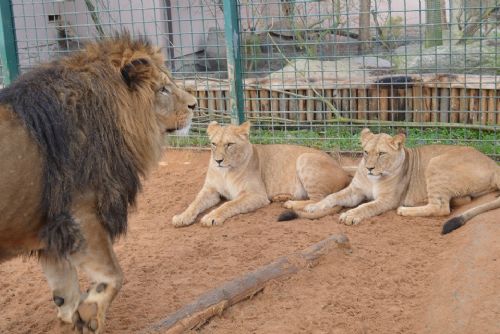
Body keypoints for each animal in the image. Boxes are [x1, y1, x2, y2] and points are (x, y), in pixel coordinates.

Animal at [0, 33, 196, 332]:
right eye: (163, 89)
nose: (195, 104)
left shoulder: (52, 232)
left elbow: (65, 292)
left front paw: (74, 317)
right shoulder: (82, 214)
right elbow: (113, 275)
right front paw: (91, 313)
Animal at [172, 120, 352, 227]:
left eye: (229, 144)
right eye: (213, 144)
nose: (218, 161)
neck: (225, 171)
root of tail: (343, 171)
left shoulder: (256, 195)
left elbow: (229, 204)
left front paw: (212, 216)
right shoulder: (210, 190)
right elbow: (195, 202)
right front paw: (182, 217)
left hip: (304, 158)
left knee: (318, 200)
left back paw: (290, 204)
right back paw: (281, 197)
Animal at [288, 128, 498, 232]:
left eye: (381, 154)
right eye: (366, 152)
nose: (369, 168)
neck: (373, 178)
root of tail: (493, 163)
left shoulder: (388, 199)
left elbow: (366, 206)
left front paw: (350, 215)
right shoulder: (355, 191)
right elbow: (332, 196)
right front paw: (314, 206)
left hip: (437, 162)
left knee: (440, 208)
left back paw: (405, 210)